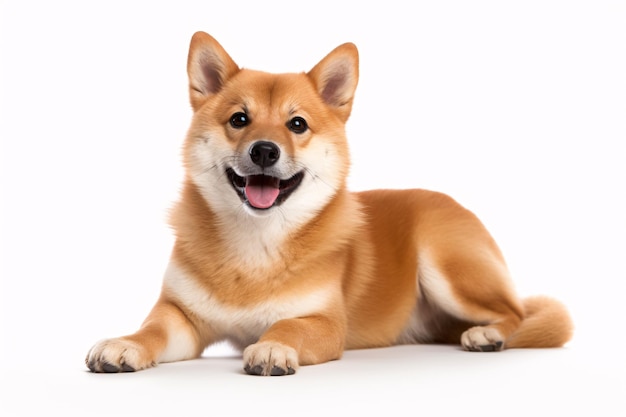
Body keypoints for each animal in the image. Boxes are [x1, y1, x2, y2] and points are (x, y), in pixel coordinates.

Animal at [85, 30, 572, 376]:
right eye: (239, 119)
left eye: (297, 124)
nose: (265, 151)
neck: (255, 244)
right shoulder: (182, 316)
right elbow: (152, 329)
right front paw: (125, 343)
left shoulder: (321, 322)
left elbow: (288, 325)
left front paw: (274, 345)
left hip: (448, 267)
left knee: (514, 313)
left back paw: (487, 334)